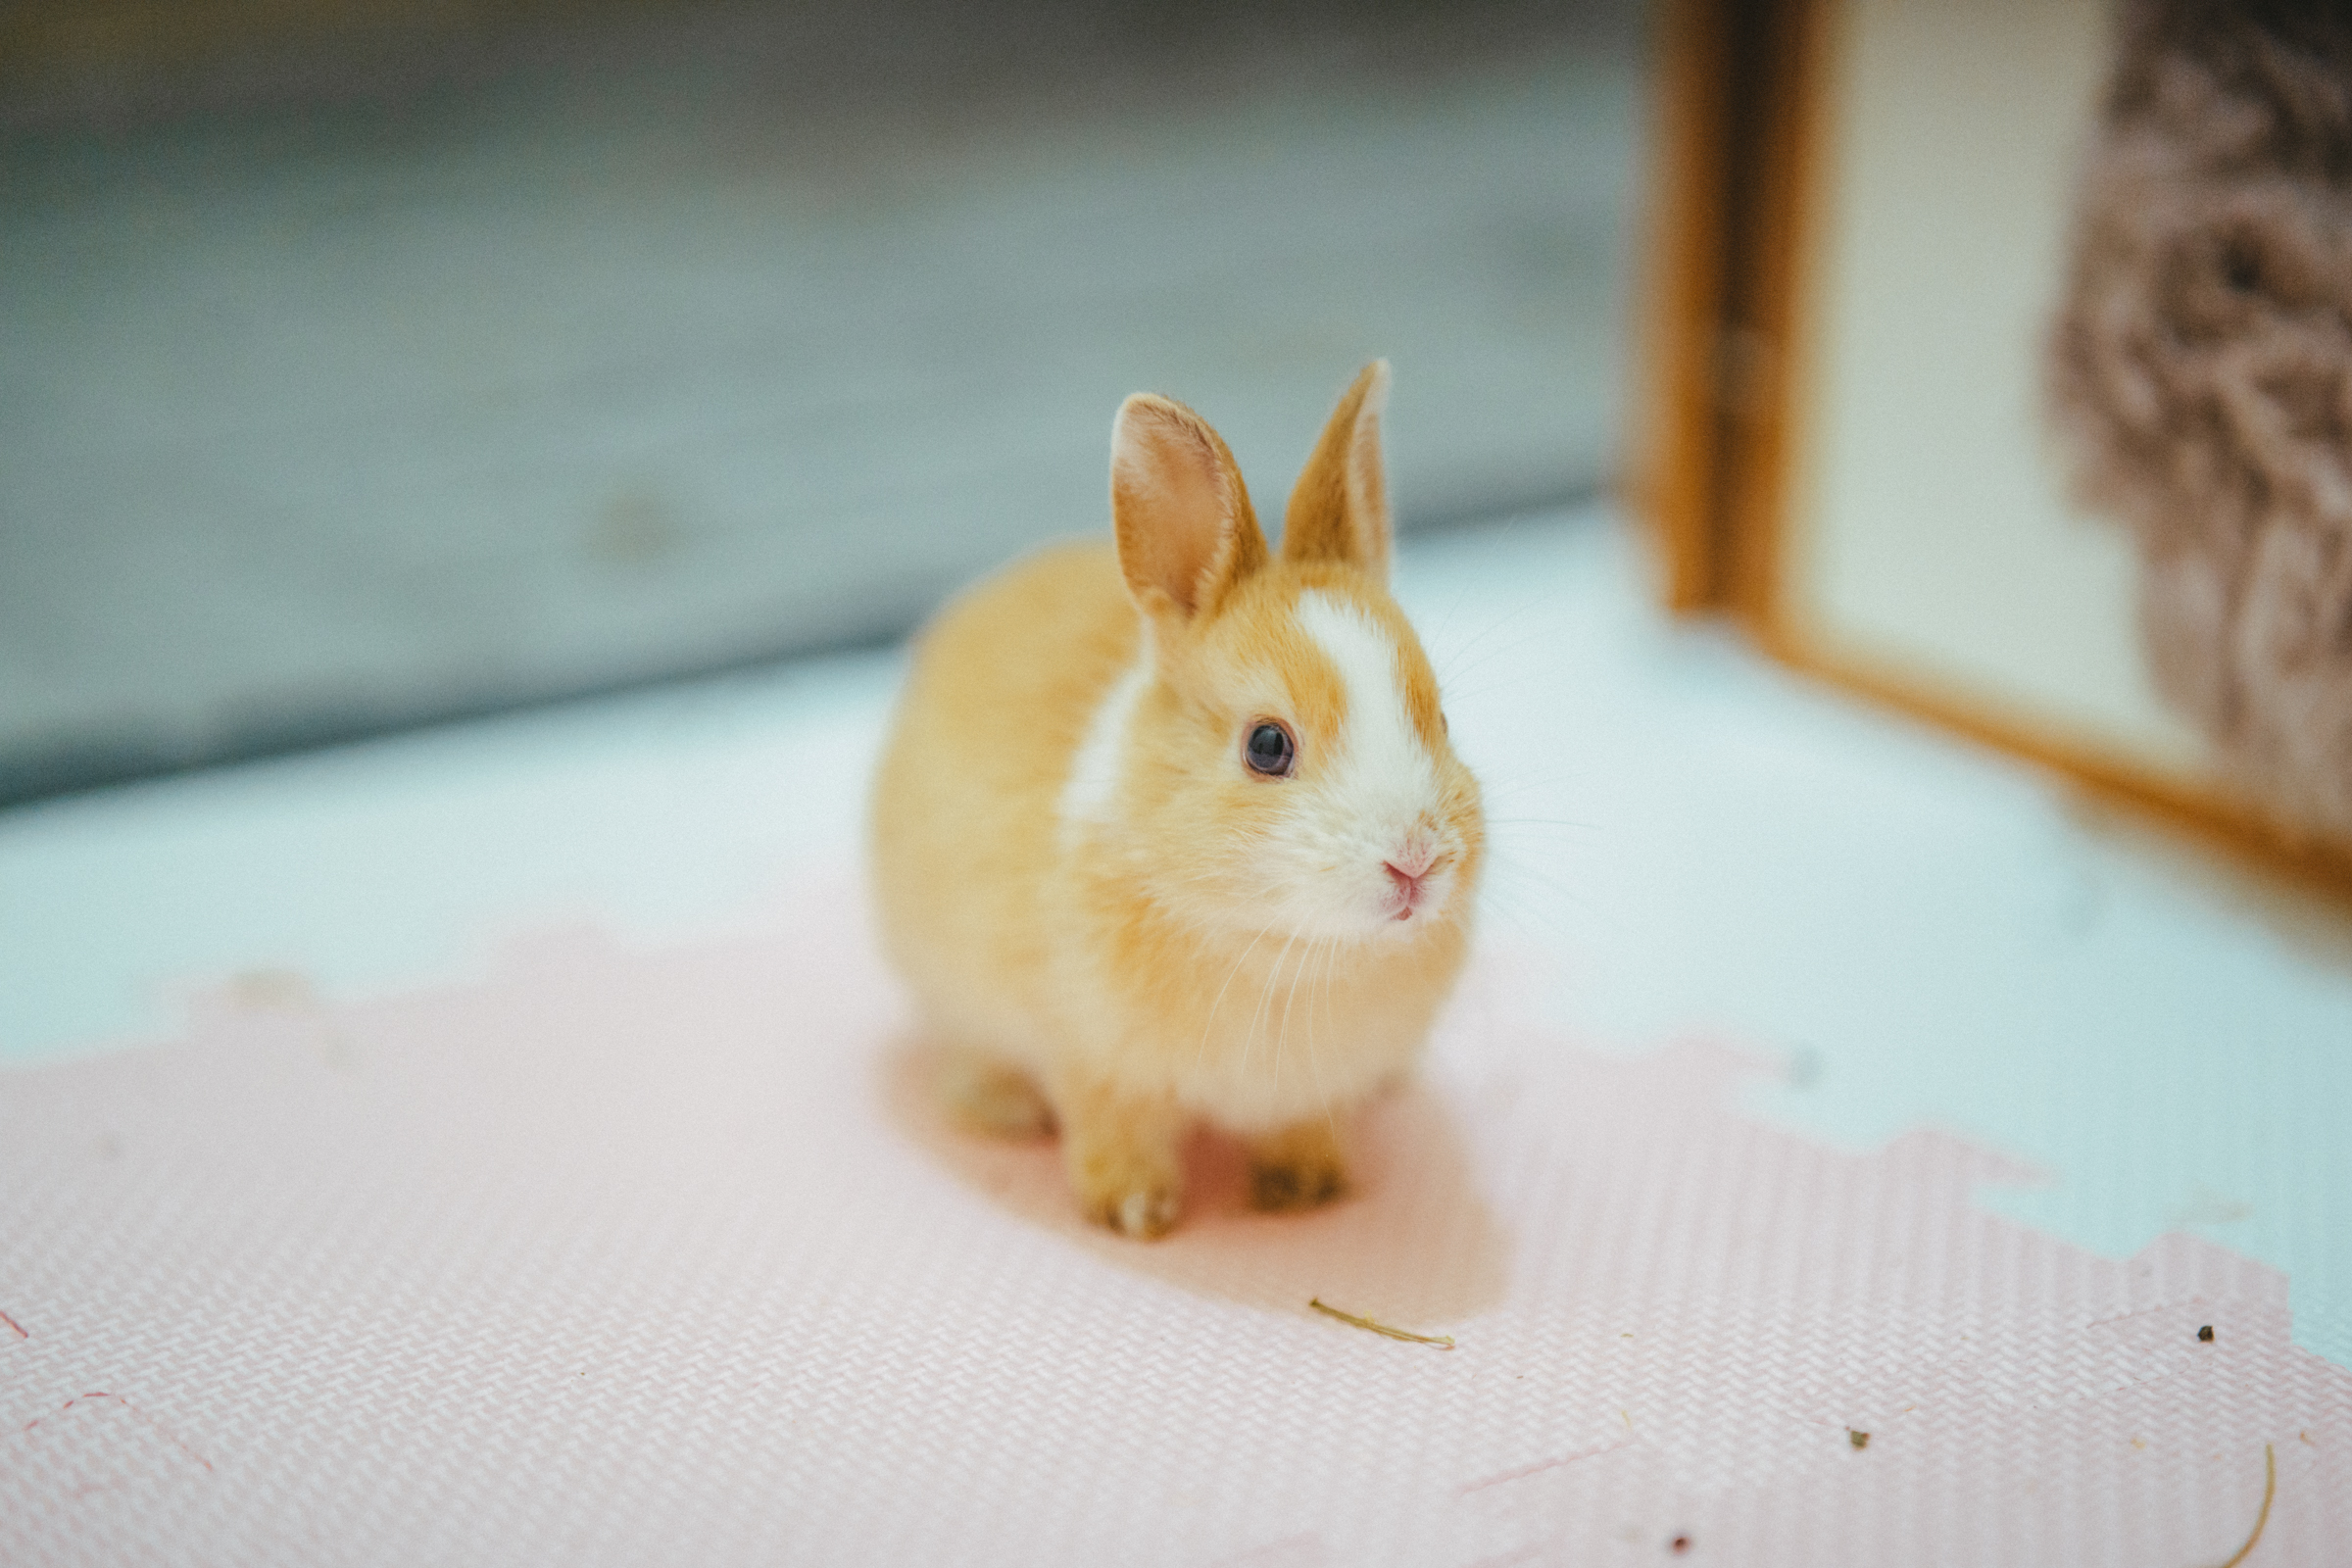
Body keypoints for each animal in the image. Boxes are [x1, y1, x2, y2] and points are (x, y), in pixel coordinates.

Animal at [869, 362, 1483, 1238]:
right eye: (1268, 746)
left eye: (1441, 719)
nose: (1417, 862)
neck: (1283, 947)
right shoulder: (1096, 1063)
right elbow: (1113, 1134)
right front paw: (1136, 1214)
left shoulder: (1313, 1088)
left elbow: (1306, 1127)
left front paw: (1306, 1191)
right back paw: (1005, 1112)